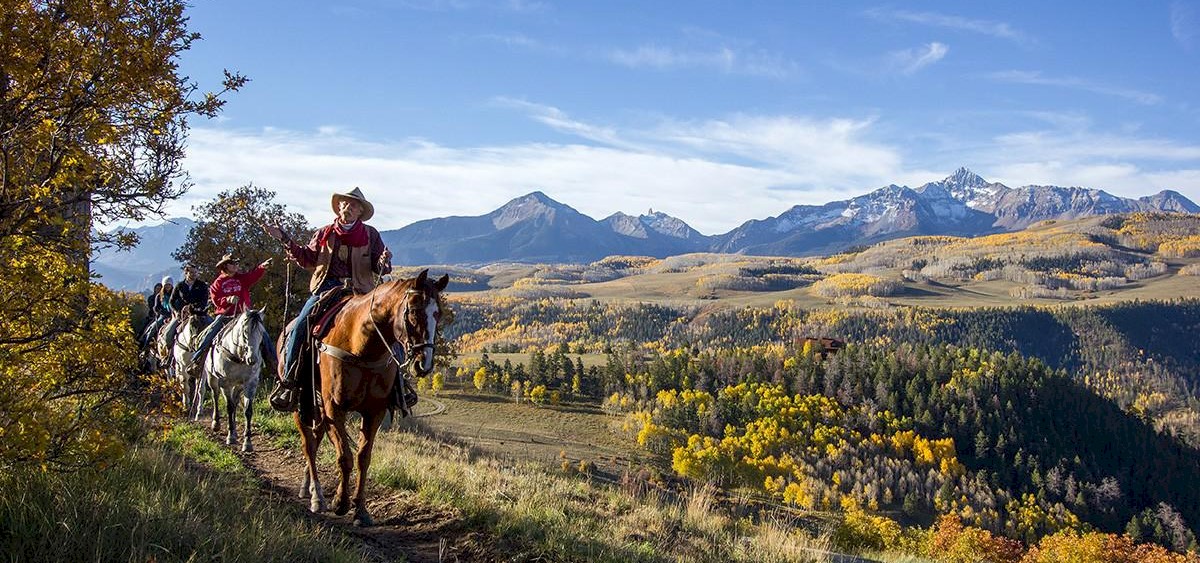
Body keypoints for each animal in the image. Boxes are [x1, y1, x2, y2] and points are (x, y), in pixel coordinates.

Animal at [286, 267, 451, 523]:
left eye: (439, 313)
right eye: (414, 310)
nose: (424, 363)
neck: (362, 345)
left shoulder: (374, 411)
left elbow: (363, 457)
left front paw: (361, 510)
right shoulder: (335, 408)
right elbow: (344, 457)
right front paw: (340, 503)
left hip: (317, 407)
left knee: (317, 437)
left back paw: (308, 487)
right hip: (302, 404)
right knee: (309, 445)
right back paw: (317, 496)